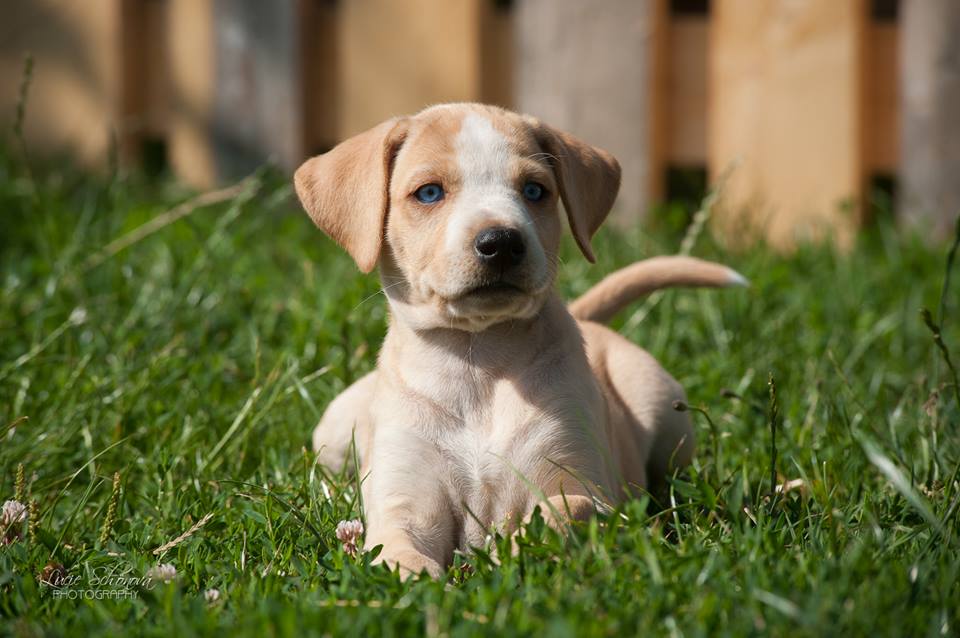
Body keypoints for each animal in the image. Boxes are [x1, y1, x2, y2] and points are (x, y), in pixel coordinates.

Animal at [294, 103, 745, 577]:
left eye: (534, 190)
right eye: (429, 193)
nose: (502, 242)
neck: (478, 358)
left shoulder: (584, 483)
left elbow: (564, 510)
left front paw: (512, 550)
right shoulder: (406, 502)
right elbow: (397, 553)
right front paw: (417, 574)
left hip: (666, 414)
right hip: (335, 426)